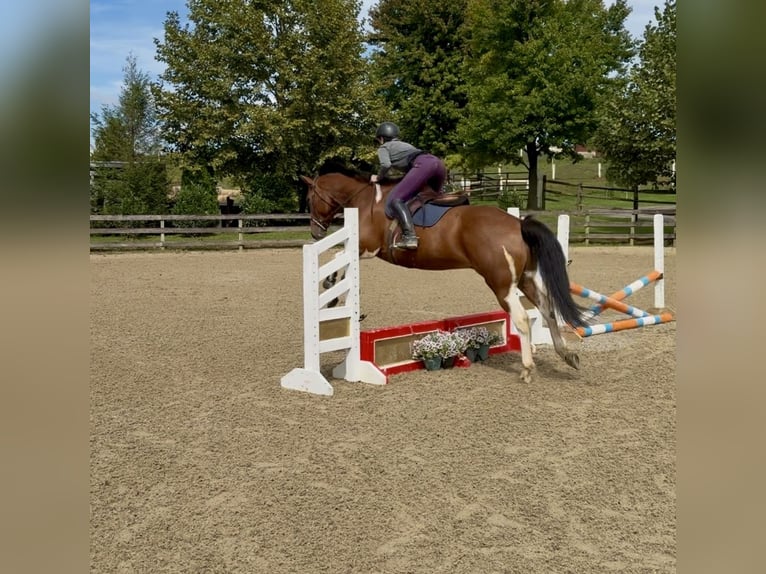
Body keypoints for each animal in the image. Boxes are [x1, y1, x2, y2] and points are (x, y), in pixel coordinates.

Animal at [301, 170, 588, 383]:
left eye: (310, 199)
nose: (315, 233)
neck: (364, 200)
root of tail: (518, 224)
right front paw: (332, 292)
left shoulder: (366, 248)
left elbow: (338, 255)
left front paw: (329, 286)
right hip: (525, 280)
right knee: (548, 309)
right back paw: (567, 354)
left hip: (502, 284)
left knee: (522, 319)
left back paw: (527, 368)